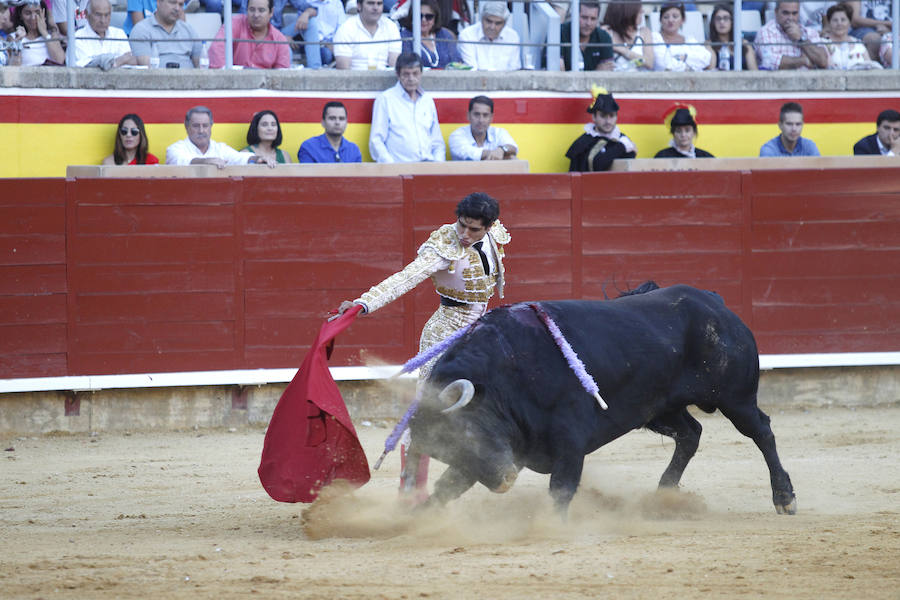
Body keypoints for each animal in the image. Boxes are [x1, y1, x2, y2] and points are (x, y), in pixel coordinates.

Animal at [406, 286, 796, 516]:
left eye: (467, 432)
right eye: (445, 450)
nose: (505, 481)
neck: (505, 372)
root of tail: (714, 302)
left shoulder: (569, 439)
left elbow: (561, 489)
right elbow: (446, 488)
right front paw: (413, 521)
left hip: (736, 398)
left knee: (762, 432)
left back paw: (784, 497)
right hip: (658, 408)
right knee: (690, 433)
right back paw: (664, 495)